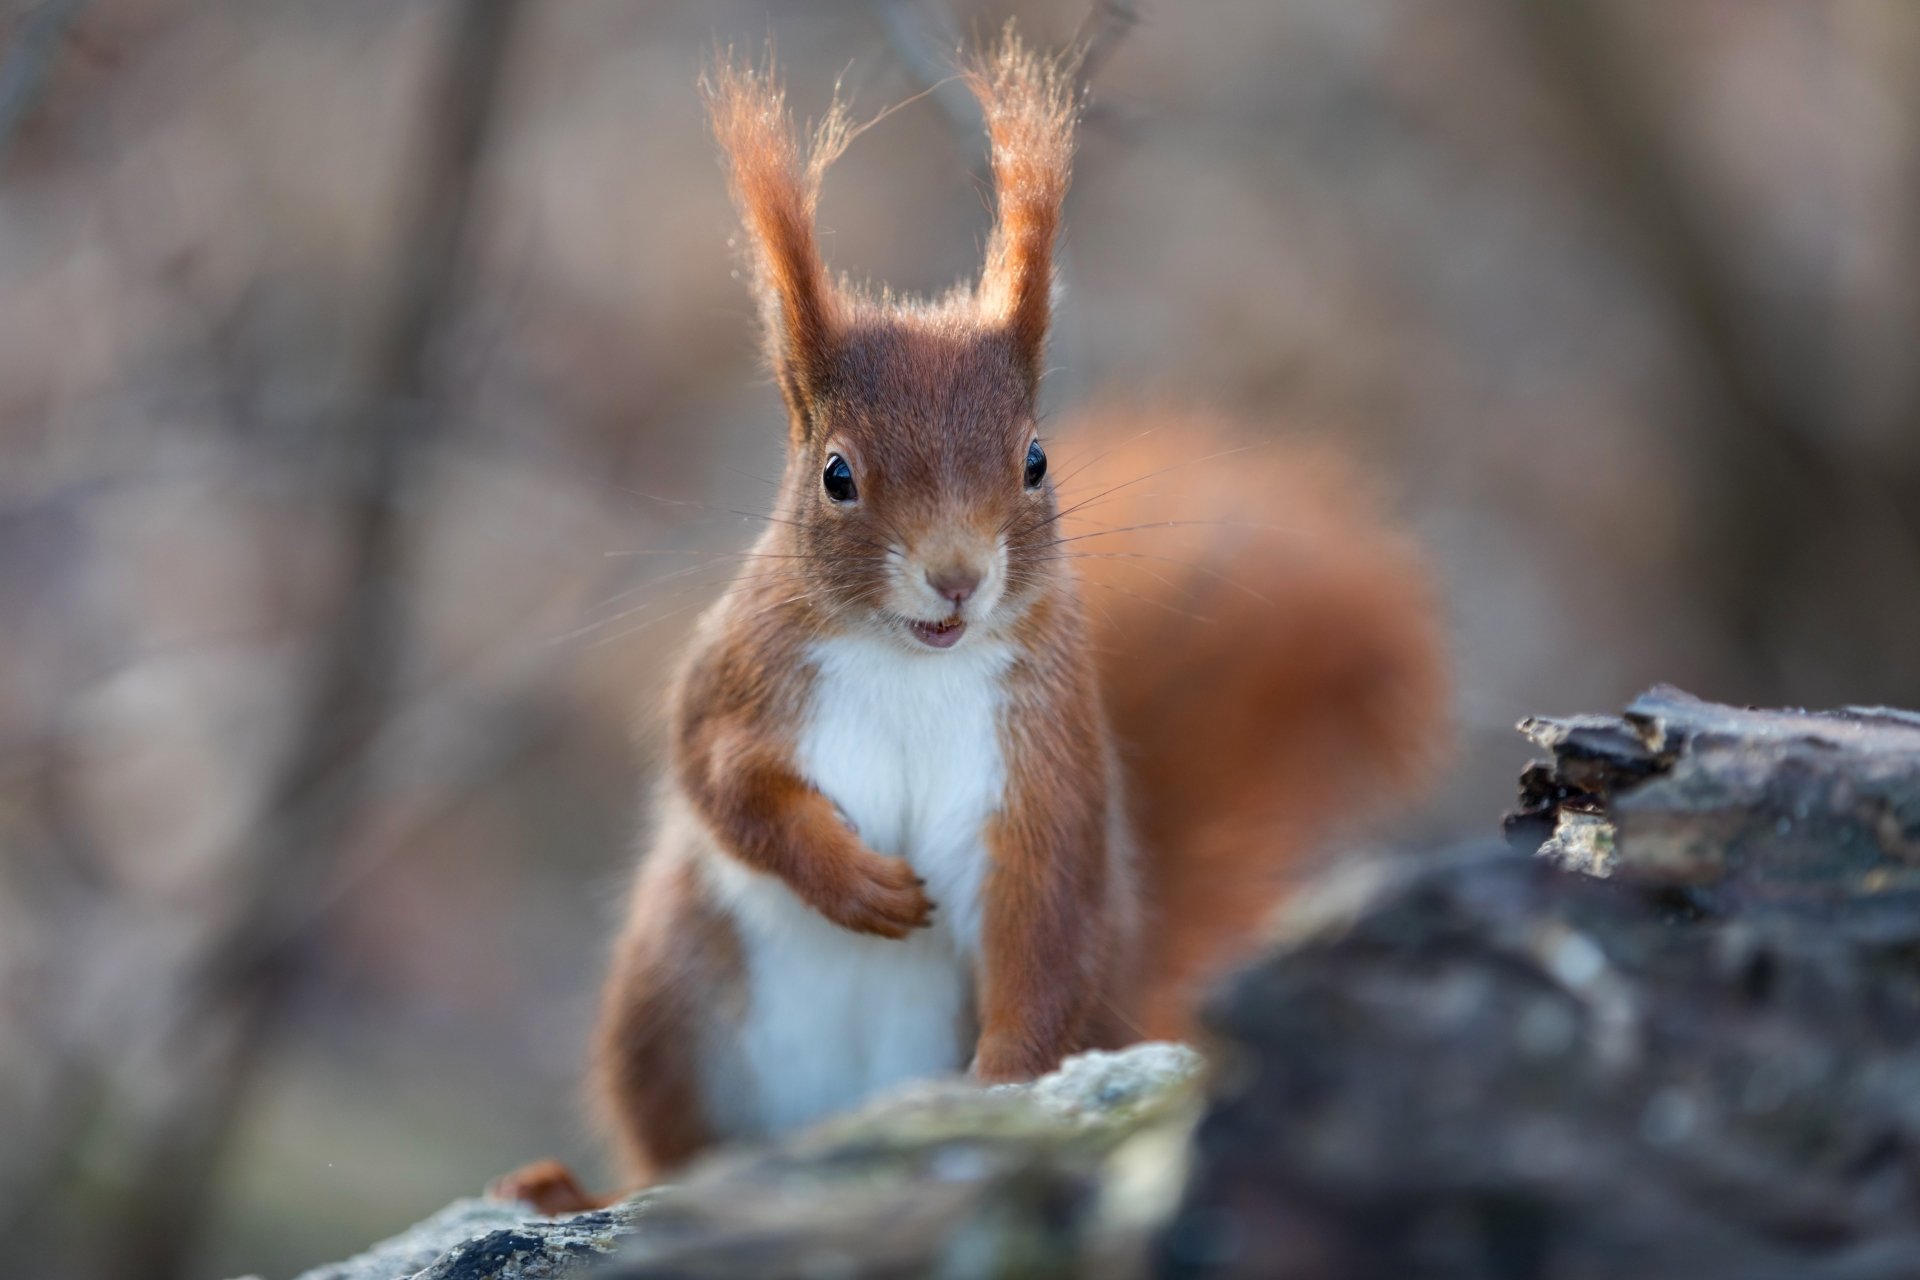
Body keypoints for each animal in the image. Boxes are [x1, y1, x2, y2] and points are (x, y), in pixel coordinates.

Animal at [491, 31, 1446, 1214]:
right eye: (837, 475)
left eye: (1035, 461)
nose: (955, 577)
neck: (914, 665)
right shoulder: (736, 678)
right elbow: (721, 780)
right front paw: (853, 880)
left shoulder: (1043, 774)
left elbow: (1040, 938)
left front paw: (998, 1098)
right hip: (669, 1000)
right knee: (671, 1153)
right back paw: (570, 1193)